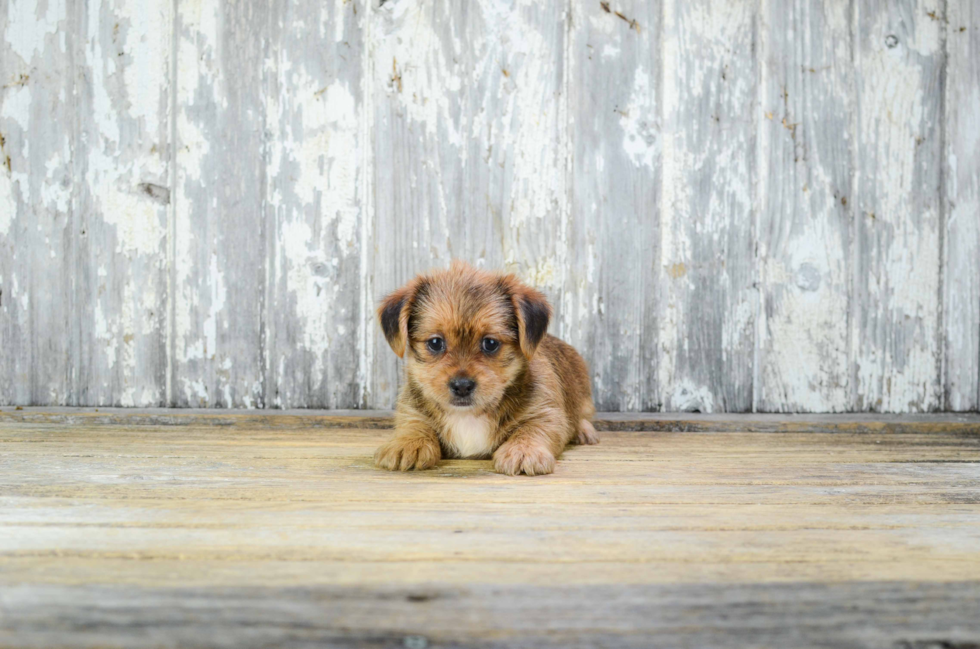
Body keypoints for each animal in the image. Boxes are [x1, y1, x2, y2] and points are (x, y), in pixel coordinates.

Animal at [372, 260, 596, 476]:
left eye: (490, 343)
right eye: (435, 343)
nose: (462, 386)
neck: (469, 416)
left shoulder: (547, 412)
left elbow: (533, 429)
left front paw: (524, 450)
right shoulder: (411, 408)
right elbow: (414, 424)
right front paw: (407, 444)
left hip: (583, 393)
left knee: (582, 414)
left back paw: (584, 430)